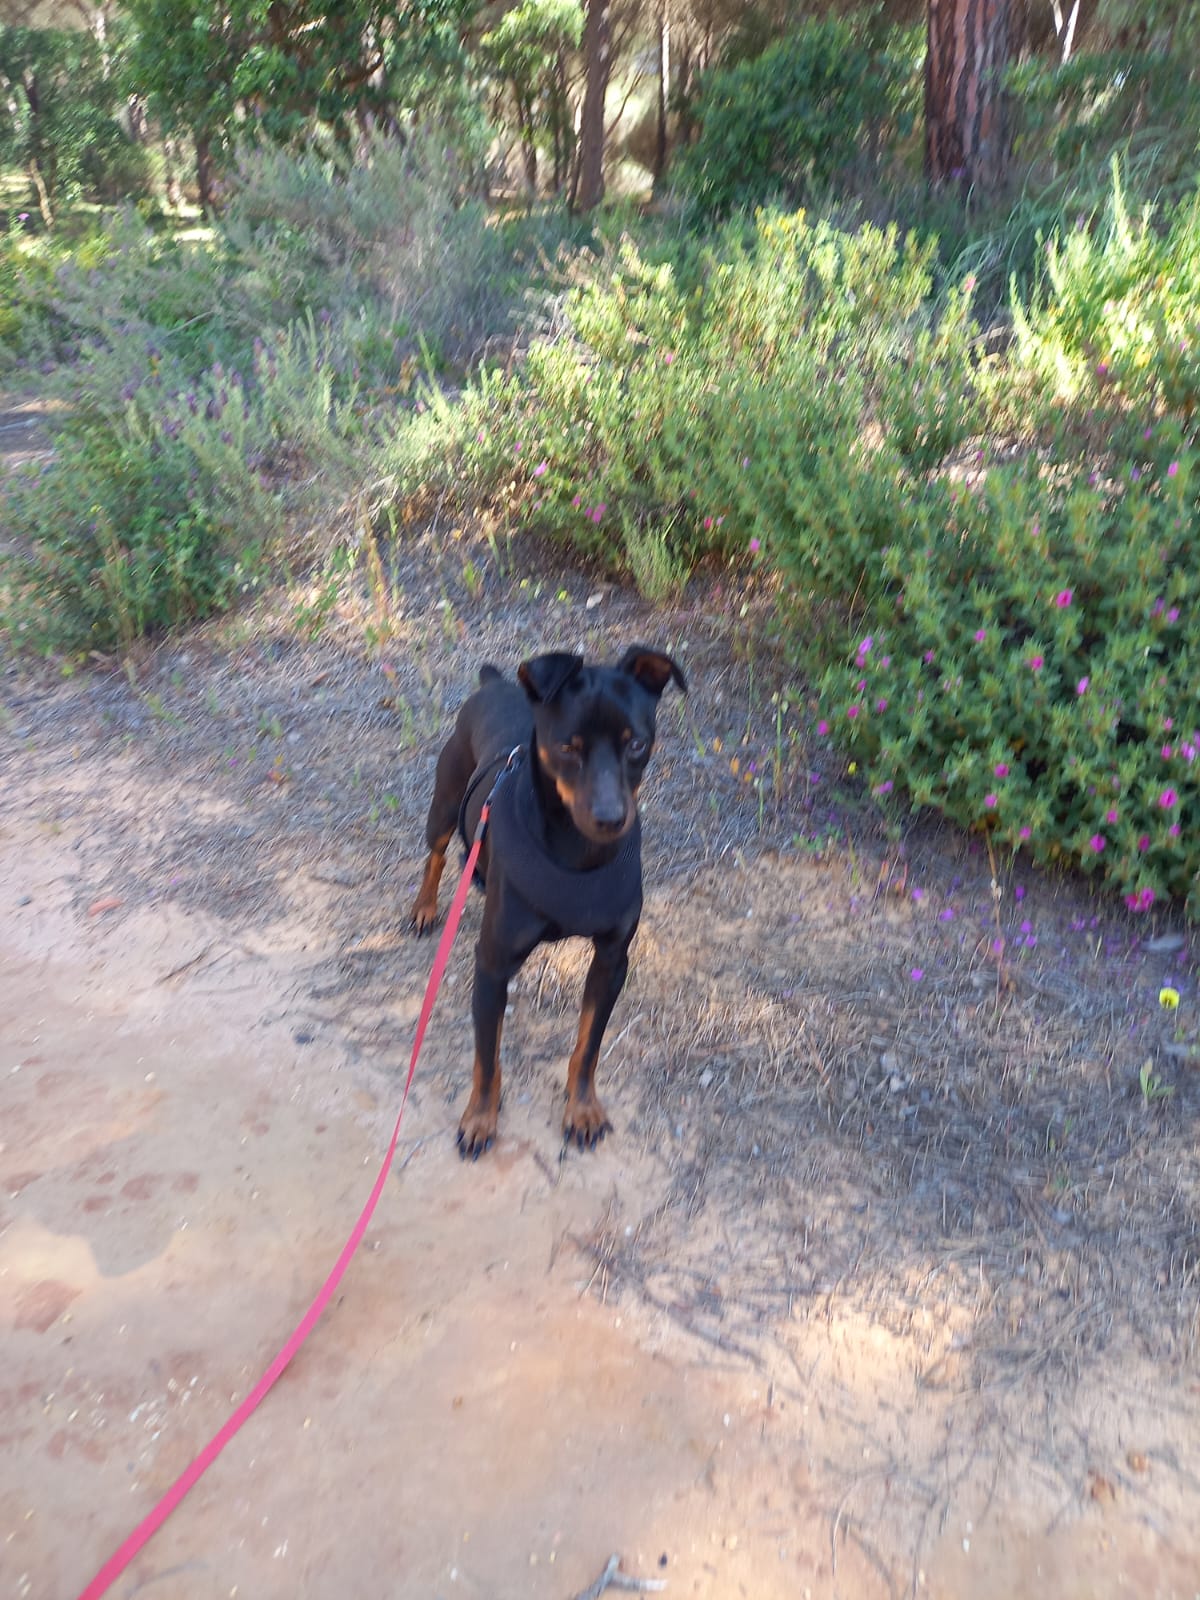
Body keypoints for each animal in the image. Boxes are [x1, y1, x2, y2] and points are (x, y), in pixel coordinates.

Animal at [411, 646, 686, 1157]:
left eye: (636, 745)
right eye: (567, 748)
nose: (610, 817)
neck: (578, 855)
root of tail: (494, 683)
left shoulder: (611, 962)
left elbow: (587, 1047)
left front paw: (582, 1108)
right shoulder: (492, 965)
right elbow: (486, 1057)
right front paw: (480, 1118)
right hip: (444, 804)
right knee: (436, 853)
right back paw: (424, 907)